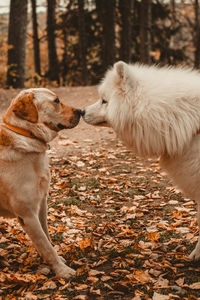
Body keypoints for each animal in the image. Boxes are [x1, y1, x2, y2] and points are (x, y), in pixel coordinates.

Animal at [0, 88, 81, 278]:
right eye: (56, 101)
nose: (81, 111)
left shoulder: (42, 203)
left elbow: (46, 238)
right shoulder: (27, 214)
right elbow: (44, 244)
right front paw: (61, 270)